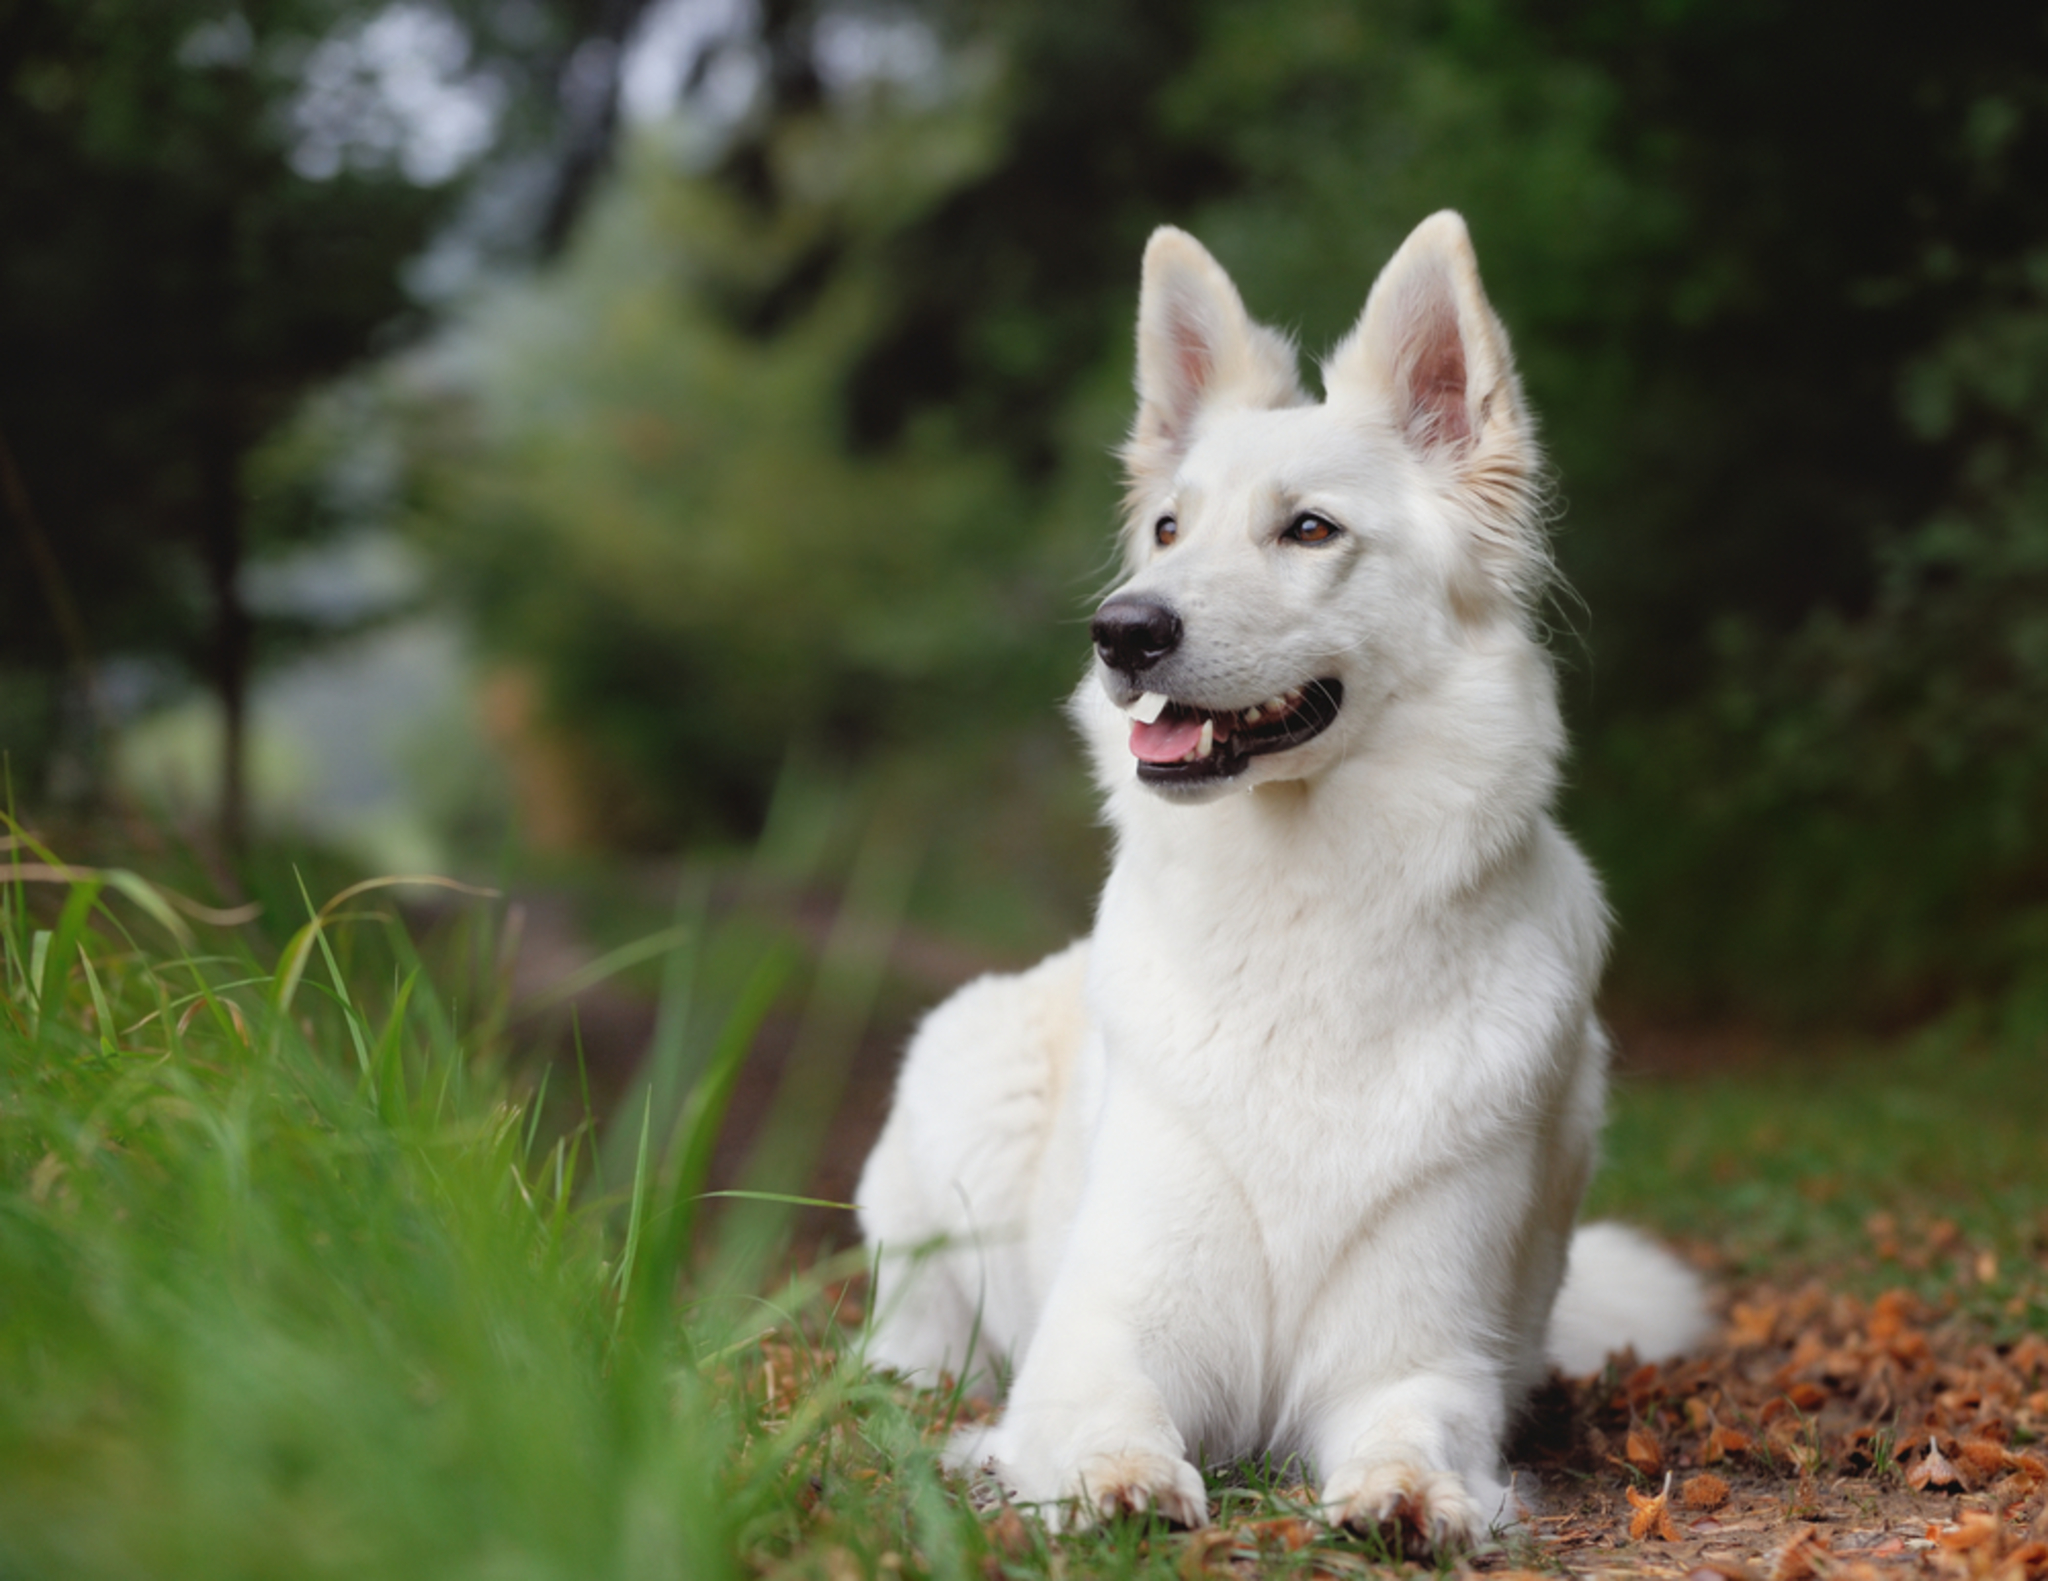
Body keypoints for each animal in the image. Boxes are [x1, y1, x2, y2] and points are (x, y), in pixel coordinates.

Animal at [856, 206, 1703, 1540]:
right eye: (1166, 529)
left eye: (1308, 529)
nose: (1121, 631)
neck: (1306, 907)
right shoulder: (1099, 1335)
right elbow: (1103, 1415)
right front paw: (1117, 1479)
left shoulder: (1418, 1354)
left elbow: (1414, 1427)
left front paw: (1405, 1497)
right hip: (959, 1079)